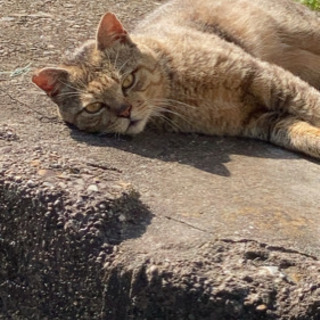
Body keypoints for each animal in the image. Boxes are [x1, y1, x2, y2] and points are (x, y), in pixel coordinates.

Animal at [31, 0, 320, 159]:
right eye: (93, 107)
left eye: (127, 81)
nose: (126, 112)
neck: (179, 91)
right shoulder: (257, 119)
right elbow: (300, 133)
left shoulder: (268, 77)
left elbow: (312, 104)